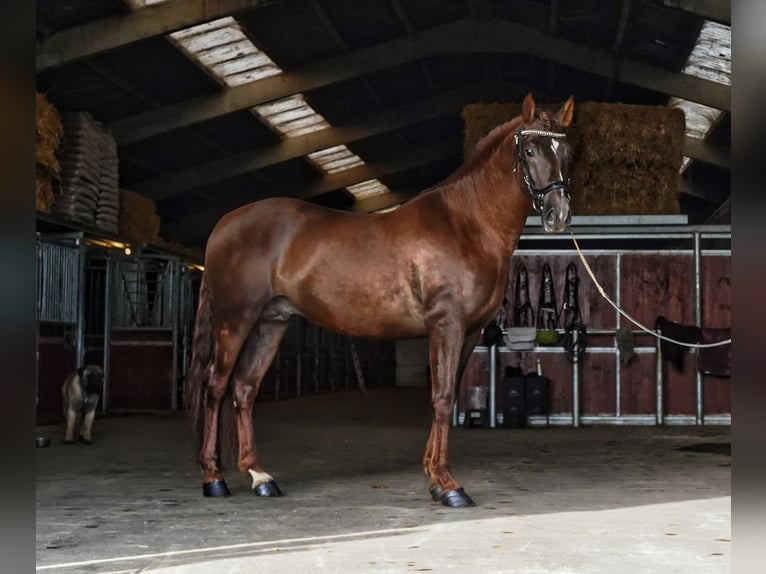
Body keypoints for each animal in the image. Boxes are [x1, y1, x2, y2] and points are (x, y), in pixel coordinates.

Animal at [190, 91, 576, 508]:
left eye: (568, 151)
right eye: (531, 149)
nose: (558, 214)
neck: (466, 225)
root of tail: (224, 225)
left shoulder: (470, 332)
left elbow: (447, 395)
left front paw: (435, 479)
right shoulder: (446, 325)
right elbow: (441, 398)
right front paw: (449, 485)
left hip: (270, 323)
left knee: (245, 388)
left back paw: (261, 477)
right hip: (235, 321)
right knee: (216, 386)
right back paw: (214, 479)